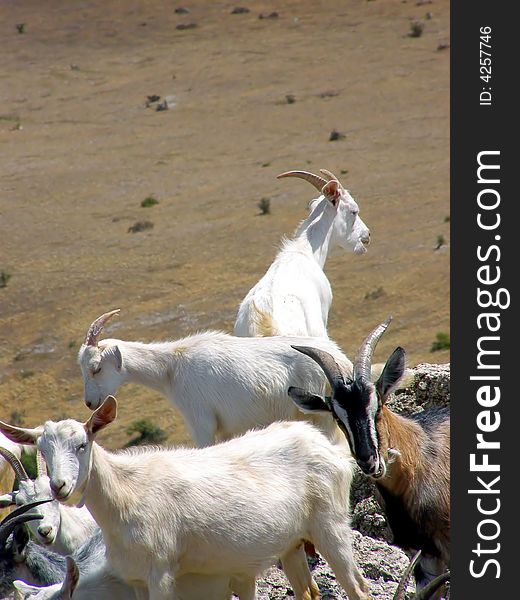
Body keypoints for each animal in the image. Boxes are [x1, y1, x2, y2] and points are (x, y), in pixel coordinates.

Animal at [2, 398, 372, 600]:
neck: (126, 494)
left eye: (83, 443)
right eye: (43, 449)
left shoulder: (162, 575)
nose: (60, 487)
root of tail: (327, 446)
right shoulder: (135, 581)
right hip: (292, 544)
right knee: (308, 591)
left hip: (330, 525)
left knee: (359, 588)